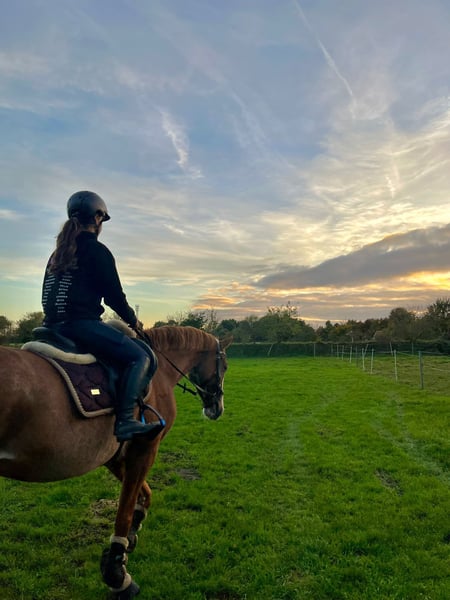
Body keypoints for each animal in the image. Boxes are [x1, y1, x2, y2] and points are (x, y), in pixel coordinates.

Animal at [0, 323, 231, 599]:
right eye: (225, 366)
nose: (216, 408)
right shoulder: (146, 447)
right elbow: (125, 508)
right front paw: (117, 574)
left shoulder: (114, 454)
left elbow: (144, 494)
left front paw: (133, 530)